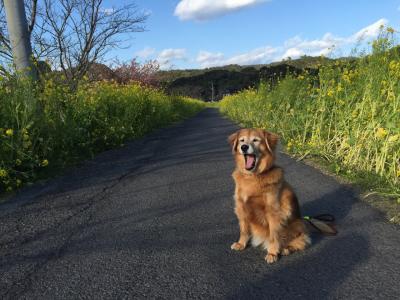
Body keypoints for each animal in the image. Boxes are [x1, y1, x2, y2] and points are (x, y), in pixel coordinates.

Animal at [228, 127, 310, 264]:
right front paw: (241, 244)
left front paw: (272, 253)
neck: (253, 177)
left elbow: (273, 235)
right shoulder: (241, 207)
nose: (244, 147)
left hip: (298, 224)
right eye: (241, 140)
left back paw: (286, 249)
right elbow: (244, 230)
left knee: (300, 241)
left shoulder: (273, 212)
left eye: (255, 140)